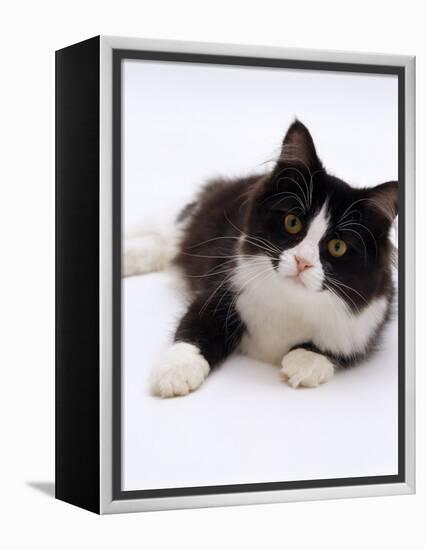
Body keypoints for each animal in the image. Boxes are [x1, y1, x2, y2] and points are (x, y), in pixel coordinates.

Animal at [123, 121, 398, 398]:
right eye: (292, 222)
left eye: (337, 246)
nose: (302, 261)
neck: (292, 300)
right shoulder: (222, 289)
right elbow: (195, 329)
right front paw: (176, 371)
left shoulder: (365, 325)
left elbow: (337, 349)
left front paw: (305, 361)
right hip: (187, 223)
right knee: (164, 237)